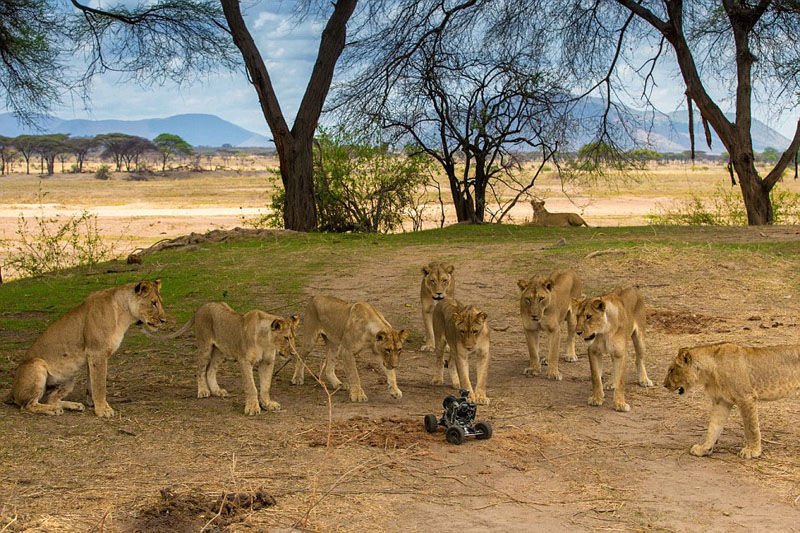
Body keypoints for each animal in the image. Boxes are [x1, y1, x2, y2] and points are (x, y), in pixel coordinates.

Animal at [3, 278, 167, 416]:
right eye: (153, 303)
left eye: (160, 301)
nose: (164, 320)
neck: (124, 313)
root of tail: (11, 391)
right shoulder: (97, 352)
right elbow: (100, 384)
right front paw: (103, 410)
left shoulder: (92, 357)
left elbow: (92, 383)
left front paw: (93, 404)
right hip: (37, 365)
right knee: (27, 405)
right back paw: (53, 410)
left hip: (70, 375)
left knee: (50, 398)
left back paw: (73, 405)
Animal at [145, 302, 298, 414]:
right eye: (286, 338)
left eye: (293, 338)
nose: (293, 353)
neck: (266, 341)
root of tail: (201, 307)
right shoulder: (244, 361)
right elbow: (251, 386)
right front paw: (252, 407)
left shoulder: (267, 362)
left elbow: (266, 386)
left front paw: (267, 404)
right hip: (205, 346)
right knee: (200, 369)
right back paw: (203, 391)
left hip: (220, 352)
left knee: (210, 370)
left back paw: (217, 391)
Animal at [664, 342, 800, 460]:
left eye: (671, 370)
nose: (664, 385)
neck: (709, 372)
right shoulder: (721, 401)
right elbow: (713, 427)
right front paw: (704, 448)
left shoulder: (746, 397)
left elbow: (751, 427)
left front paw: (753, 451)